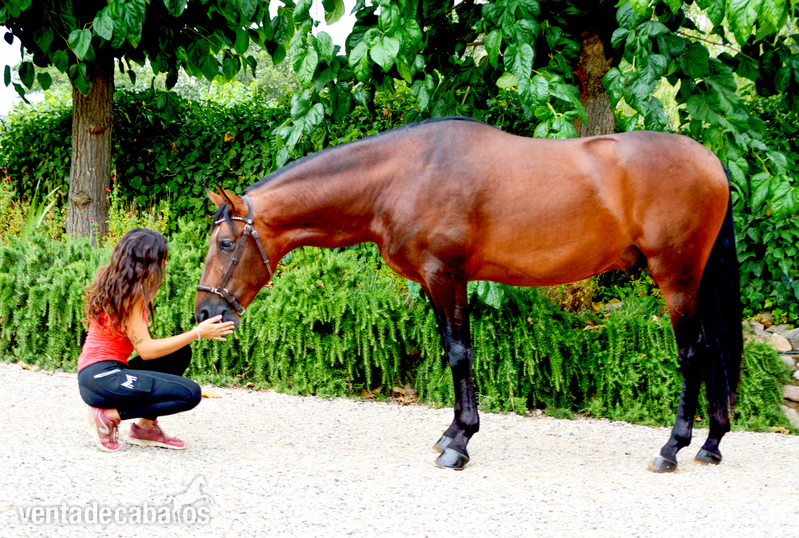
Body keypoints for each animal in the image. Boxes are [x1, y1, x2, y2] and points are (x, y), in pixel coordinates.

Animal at [195, 117, 742, 473]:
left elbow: (460, 352)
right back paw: (712, 443)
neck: (401, 175)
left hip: (675, 276)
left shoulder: (446, 275)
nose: (205, 310)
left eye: (226, 244)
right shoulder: (434, 282)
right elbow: (451, 351)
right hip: (693, 279)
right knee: (714, 352)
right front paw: (452, 433)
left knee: (693, 354)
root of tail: (712, 162)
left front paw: (460, 444)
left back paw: (673, 448)